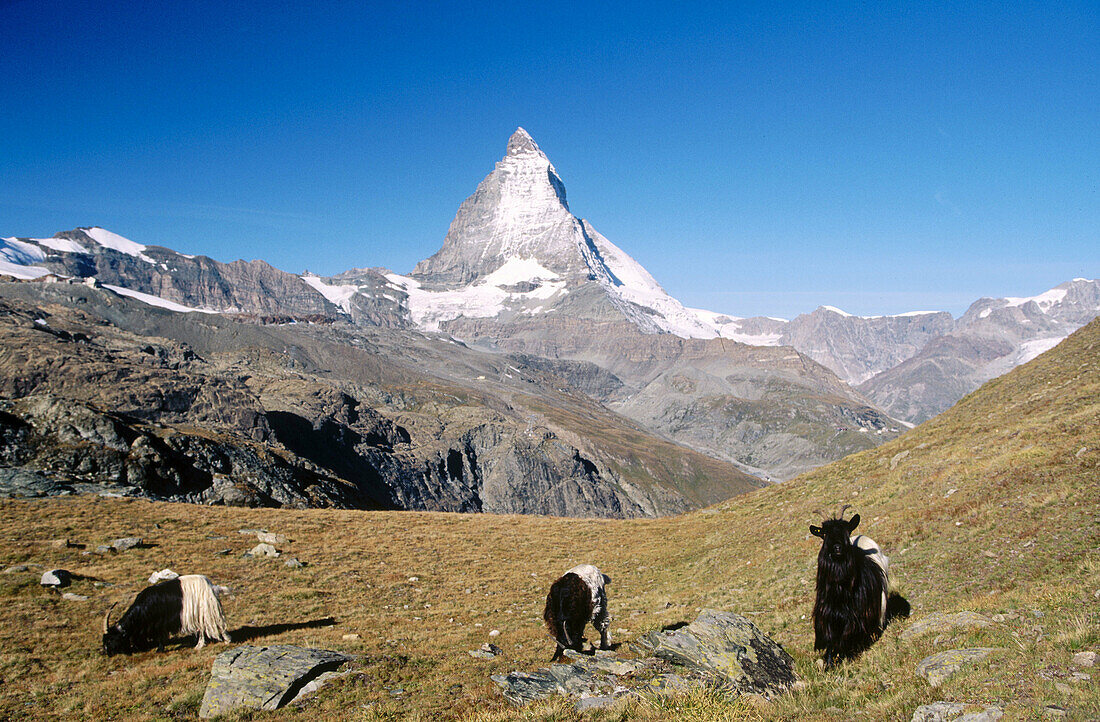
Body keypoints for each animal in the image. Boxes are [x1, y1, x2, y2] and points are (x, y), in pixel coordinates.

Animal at [103, 572, 231, 655]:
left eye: (111, 640)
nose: (106, 653)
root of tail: (213, 587)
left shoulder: (159, 623)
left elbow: (161, 637)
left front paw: (159, 650)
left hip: (208, 609)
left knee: (216, 624)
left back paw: (223, 641)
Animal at [809, 510, 910, 669]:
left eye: (846, 530)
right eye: (824, 533)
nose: (837, 547)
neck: (840, 591)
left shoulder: (856, 616)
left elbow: (845, 637)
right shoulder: (828, 615)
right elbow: (831, 639)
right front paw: (829, 664)